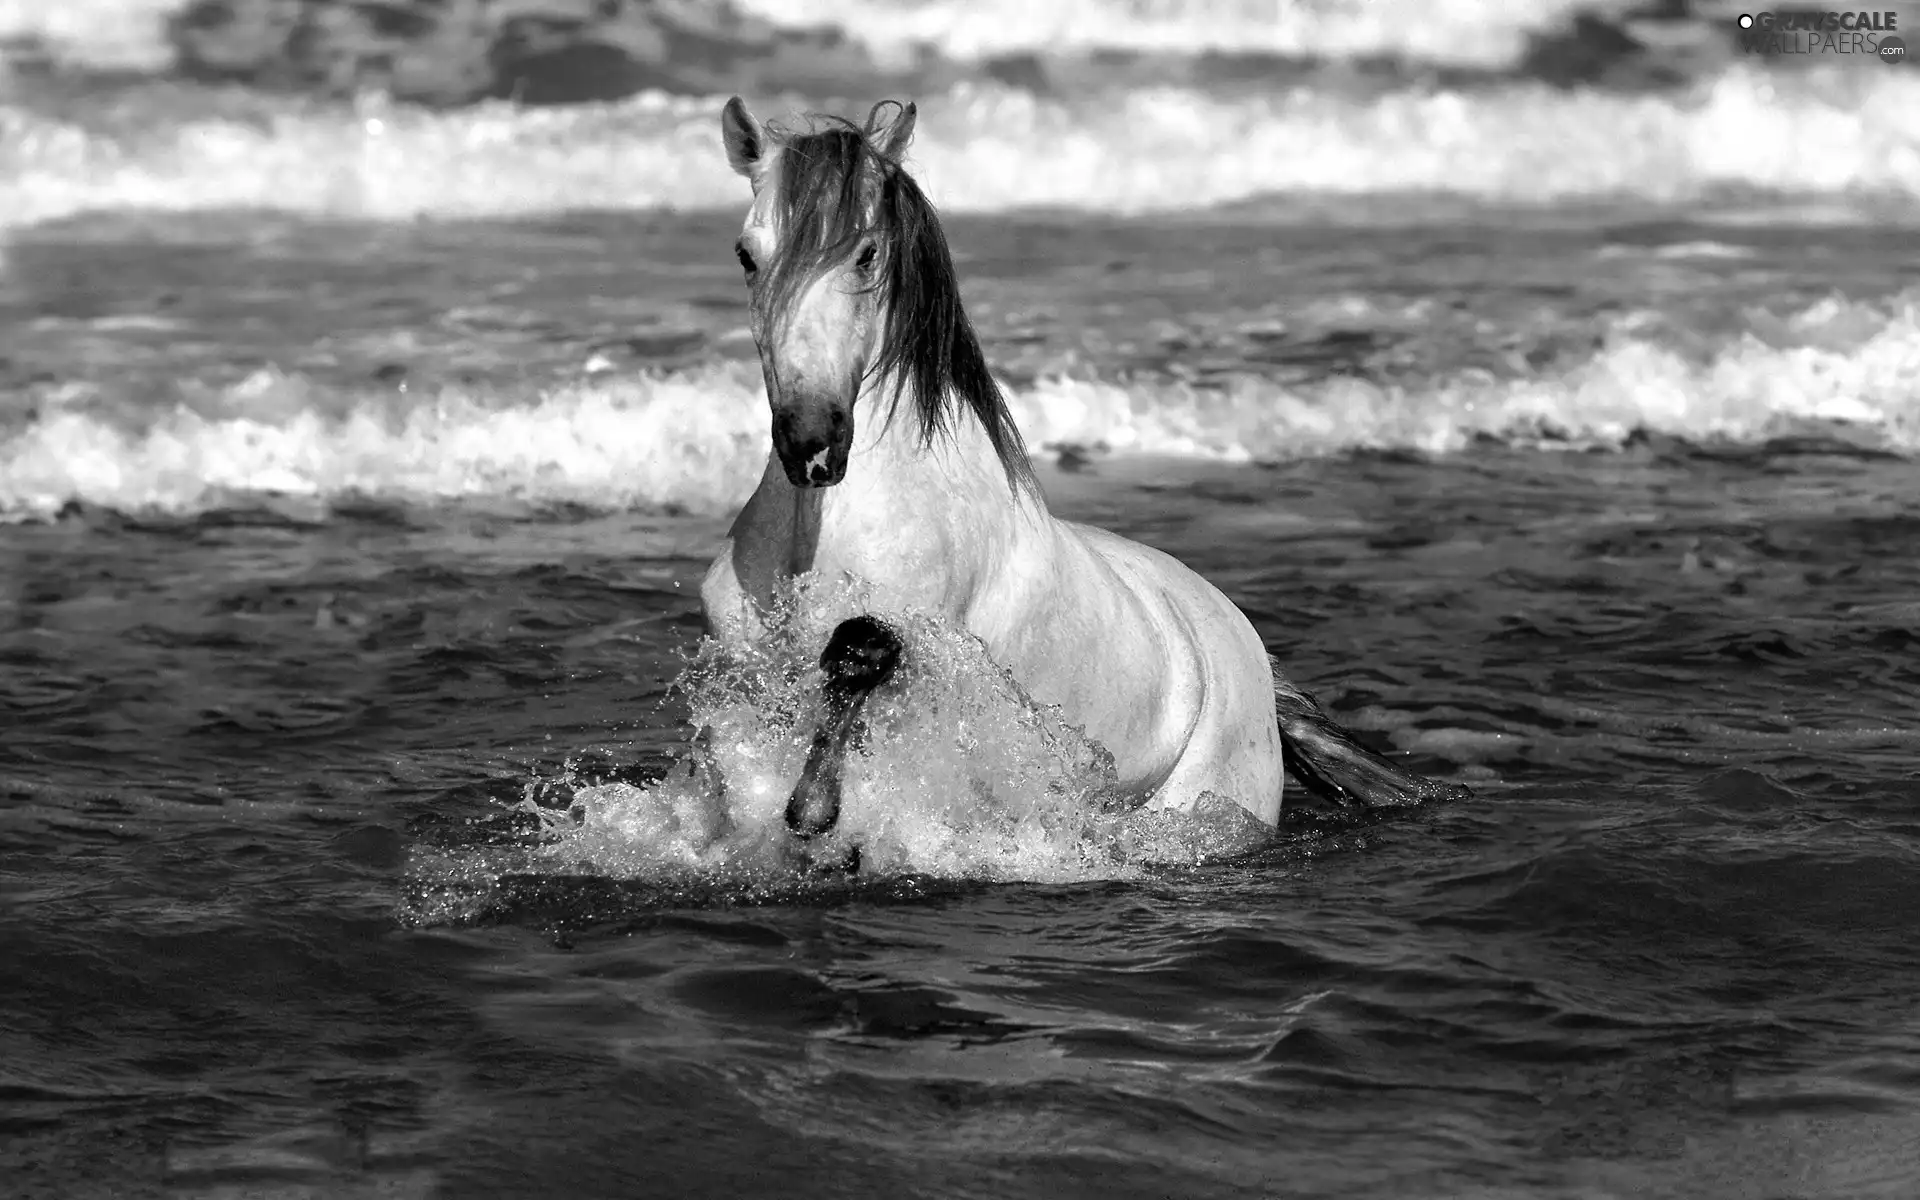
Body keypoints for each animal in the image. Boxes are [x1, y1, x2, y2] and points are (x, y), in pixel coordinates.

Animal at [698, 96, 1459, 840]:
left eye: (866, 254)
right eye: (745, 255)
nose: (812, 443)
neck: (821, 531)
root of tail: (1254, 658)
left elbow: (860, 652)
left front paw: (814, 810)